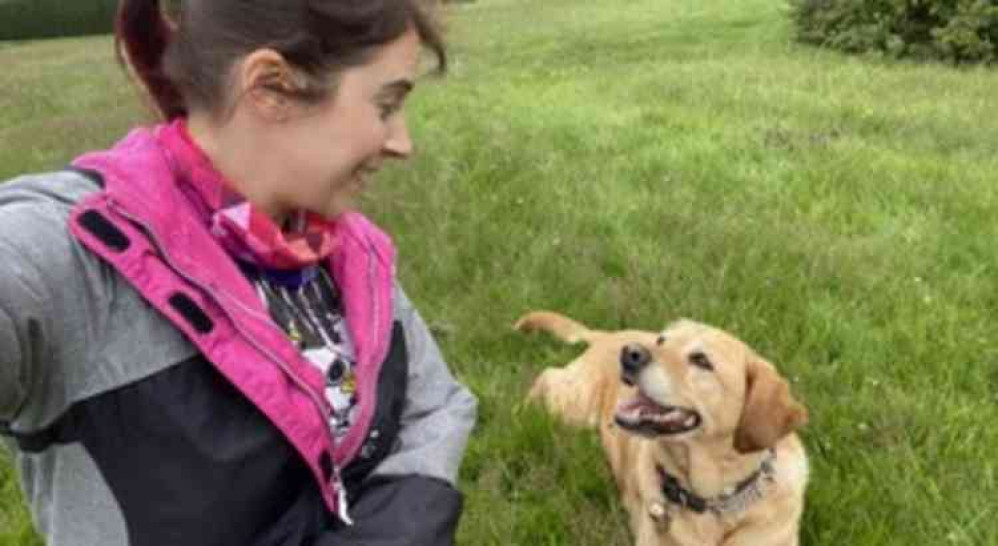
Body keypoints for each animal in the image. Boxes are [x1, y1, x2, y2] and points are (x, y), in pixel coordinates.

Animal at [520, 310, 808, 544]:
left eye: (701, 360)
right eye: (661, 340)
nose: (630, 353)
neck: (714, 502)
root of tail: (610, 335)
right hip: (573, 407)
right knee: (547, 374)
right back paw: (522, 410)